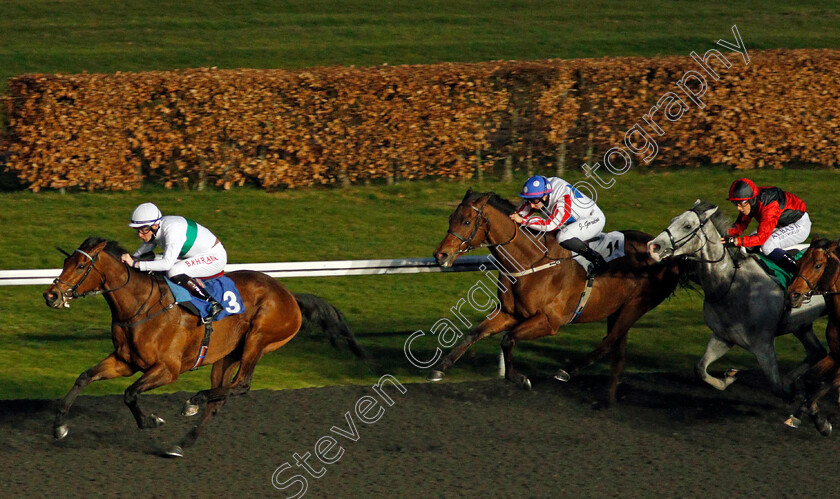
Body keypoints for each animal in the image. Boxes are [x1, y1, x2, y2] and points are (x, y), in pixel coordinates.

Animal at [44, 236, 360, 458]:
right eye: (66, 262)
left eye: (81, 266)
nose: (51, 295)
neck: (141, 307)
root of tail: (290, 296)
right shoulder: (125, 362)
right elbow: (84, 376)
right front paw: (59, 426)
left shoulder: (167, 369)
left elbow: (130, 394)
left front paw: (152, 421)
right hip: (226, 355)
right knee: (220, 399)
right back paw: (182, 442)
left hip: (258, 339)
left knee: (242, 384)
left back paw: (192, 402)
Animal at [430, 189, 684, 404]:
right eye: (451, 218)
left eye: (466, 221)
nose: (440, 255)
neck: (530, 261)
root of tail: (669, 254)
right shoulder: (510, 312)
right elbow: (474, 333)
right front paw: (440, 367)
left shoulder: (550, 321)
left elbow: (508, 339)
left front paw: (519, 378)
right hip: (617, 308)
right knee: (617, 353)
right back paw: (608, 401)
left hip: (636, 305)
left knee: (608, 343)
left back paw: (566, 371)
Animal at [648, 201, 828, 400]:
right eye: (673, 220)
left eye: (687, 226)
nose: (653, 246)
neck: (733, 284)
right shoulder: (723, 337)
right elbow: (700, 369)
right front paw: (729, 377)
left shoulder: (763, 346)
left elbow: (777, 387)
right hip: (801, 325)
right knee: (817, 351)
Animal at [788, 236, 840, 436]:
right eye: (798, 263)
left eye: (818, 265)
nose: (792, 295)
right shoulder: (835, 354)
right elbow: (808, 377)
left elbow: (828, 382)